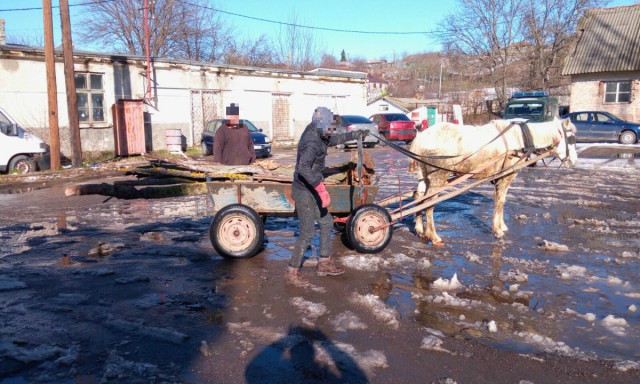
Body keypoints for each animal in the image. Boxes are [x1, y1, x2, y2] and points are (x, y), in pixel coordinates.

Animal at [410, 118, 580, 246]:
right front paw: (497, 230)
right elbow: (499, 201)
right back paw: (433, 236)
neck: (522, 139)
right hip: (438, 175)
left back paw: (420, 230)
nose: (574, 160)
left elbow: (501, 200)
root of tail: (420, 138)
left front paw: (502, 226)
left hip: (424, 175)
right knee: (429, 203)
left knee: (419, 197)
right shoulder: (507, 176)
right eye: (571, 139)